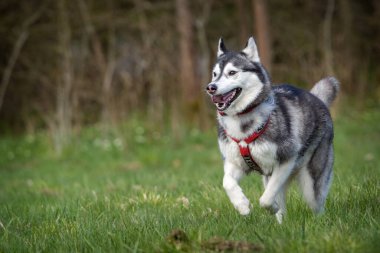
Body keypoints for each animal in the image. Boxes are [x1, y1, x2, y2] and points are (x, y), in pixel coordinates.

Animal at [206, 36, 340, 222]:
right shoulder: (236, 163)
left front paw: (270, 207)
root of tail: (317, 99)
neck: (242, 122)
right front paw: (242, 206)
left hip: (311, 182)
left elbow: (266, 199)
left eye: (232, 72)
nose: (211, 87)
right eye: (215, 74)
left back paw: (318, 222)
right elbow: (227, 183)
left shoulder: (286, 161)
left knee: (316, 205)